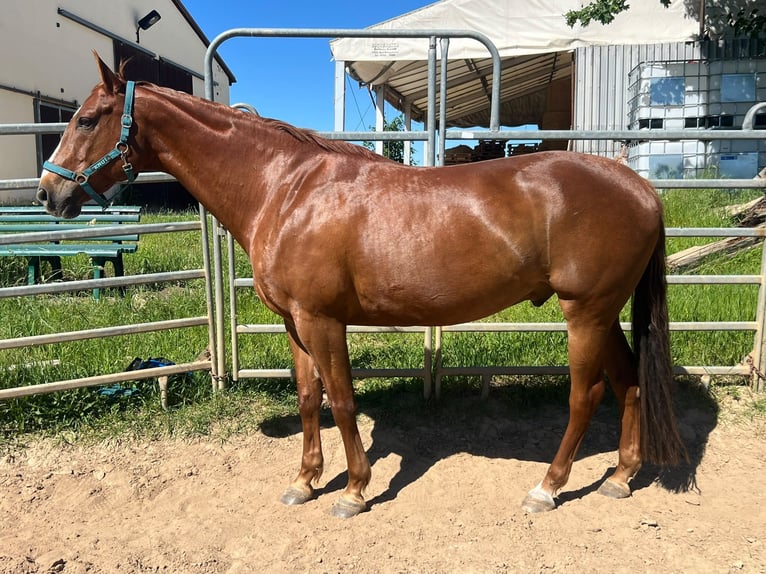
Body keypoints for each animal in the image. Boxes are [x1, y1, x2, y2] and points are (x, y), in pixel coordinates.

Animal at [37, 53, 686, 518]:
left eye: (87, 119)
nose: (49, 193)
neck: (285, 189)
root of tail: (640, 189)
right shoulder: (294, 323)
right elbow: (309, 399)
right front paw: (304, 482)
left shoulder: (323, 319)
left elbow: (343, 400)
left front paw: (353, 490)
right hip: (605, 314)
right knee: (629, 384)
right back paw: (621, 478)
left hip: (585, 313)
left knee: (587, 396)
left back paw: (547, 488)